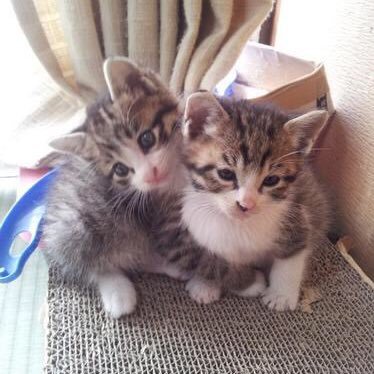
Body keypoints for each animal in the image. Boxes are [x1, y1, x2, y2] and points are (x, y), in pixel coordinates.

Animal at [181, 92, 330, 312]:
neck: (240, 225)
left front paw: (280, 295)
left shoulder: (298, 219)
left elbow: (291, 258)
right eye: (225, 174)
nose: (246, 205)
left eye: (271, 180)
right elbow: (211, 257)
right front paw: (205, 283)